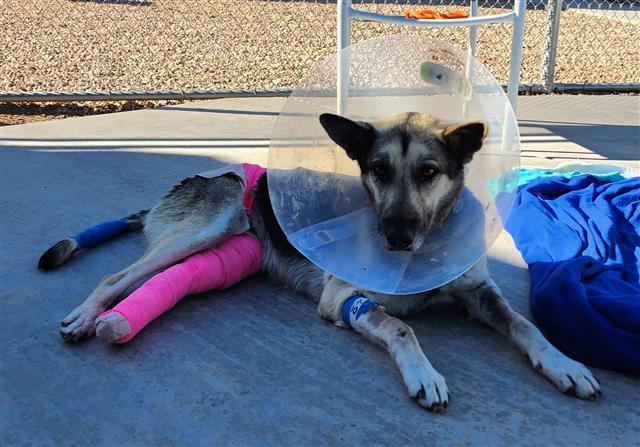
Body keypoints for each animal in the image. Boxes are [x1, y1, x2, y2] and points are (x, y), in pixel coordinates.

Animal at [43, 113, 600, 412]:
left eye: (429, 172)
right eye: (377, 170)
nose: (397, 236)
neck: (425, 251)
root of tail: (196, 177)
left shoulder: (480, 294)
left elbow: (525, 324)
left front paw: (564, 364)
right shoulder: (342, 299)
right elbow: (401, 327)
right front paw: (424, 373)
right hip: (210, 223)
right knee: (117, 276)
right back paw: (86, 317)